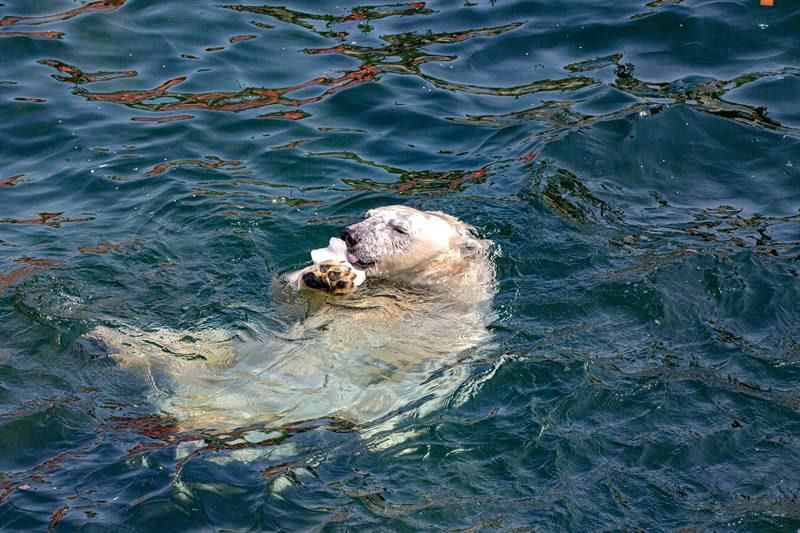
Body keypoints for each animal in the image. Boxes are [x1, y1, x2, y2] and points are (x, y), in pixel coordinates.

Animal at [86, 206, 494, 430]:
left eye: (399, 228)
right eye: (368, 215)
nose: (349, 234)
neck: (413, 291)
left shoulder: (443, 330)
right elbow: (289, 300)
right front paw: (326, 274)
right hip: (235, 346)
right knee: (194, 344)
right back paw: (109, 340)